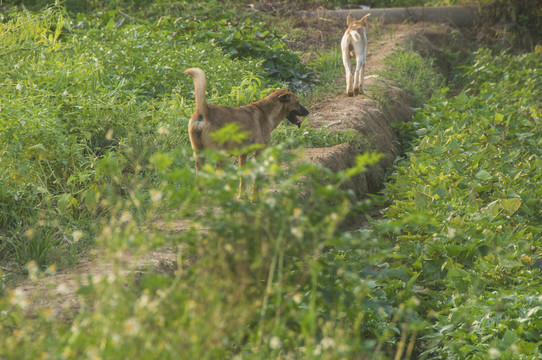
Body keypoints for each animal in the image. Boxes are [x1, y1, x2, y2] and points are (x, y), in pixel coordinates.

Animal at [185, 67, 310, 197]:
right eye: (297, 102)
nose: (308, 112)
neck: (267, 112)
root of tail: (204, 112)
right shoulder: (259, 152)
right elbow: (256, 179)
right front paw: (254, 197)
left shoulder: (242, 155)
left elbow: (243, 180)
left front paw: (242, 196)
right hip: (218, 156)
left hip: (199, 157)